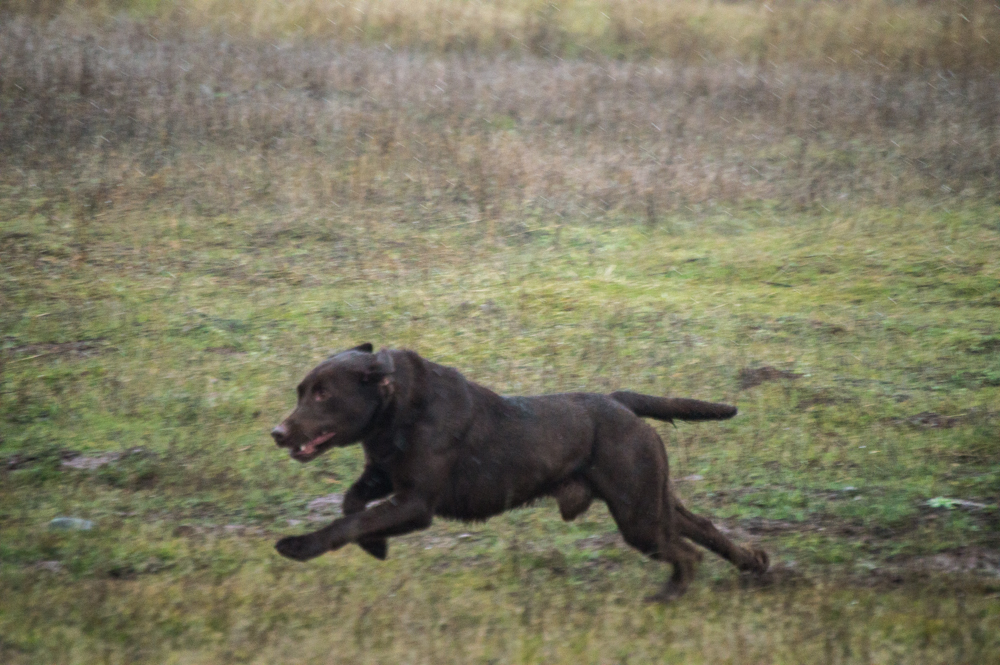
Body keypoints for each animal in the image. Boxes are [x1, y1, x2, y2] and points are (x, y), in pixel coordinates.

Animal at [270, 344, 768, 600]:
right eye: (301, 391)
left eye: (323, 394)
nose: (277, 432)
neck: (396, 407)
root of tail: (619, 402)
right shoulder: (385, 477)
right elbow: (352, 503)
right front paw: (375, 545)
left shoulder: (415, 503)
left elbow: (352, 520)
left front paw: (300, 546)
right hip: (650, 500)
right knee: (702, 528)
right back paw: (753, 562)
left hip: (638, 516)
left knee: (688, 552)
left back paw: (669, 596)